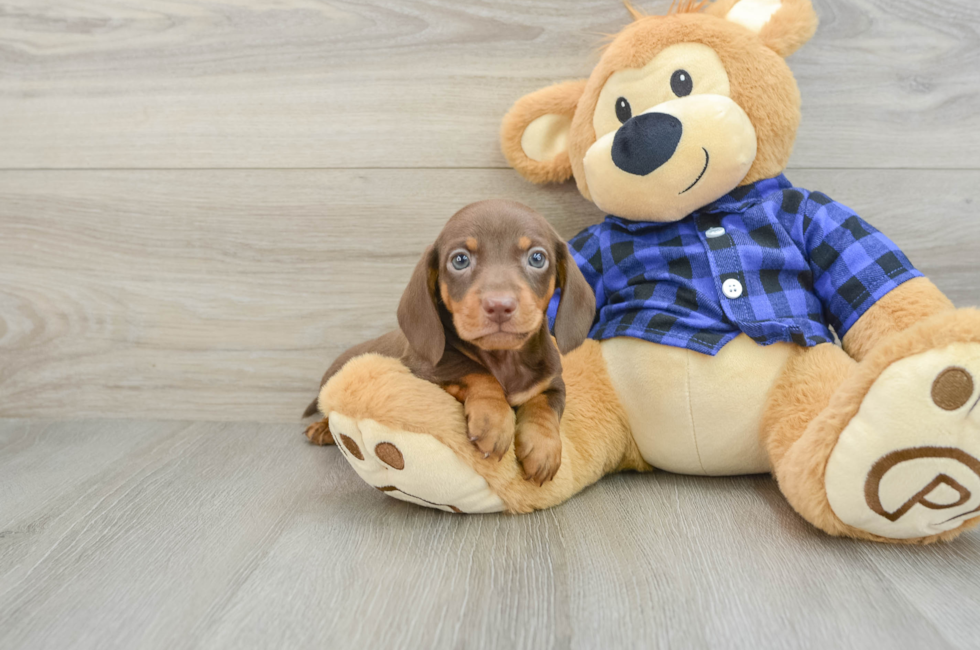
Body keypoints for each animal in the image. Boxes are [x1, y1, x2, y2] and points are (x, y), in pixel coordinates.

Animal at [306, 200, 592, 484]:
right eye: (460, 260)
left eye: (537, 258)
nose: (499, 306)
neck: (504, 357)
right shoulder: (422, 370)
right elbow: (476, 371)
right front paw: (494, 418)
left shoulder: (554, 382)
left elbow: (545, 406)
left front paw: (543, 447)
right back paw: (321, 429)